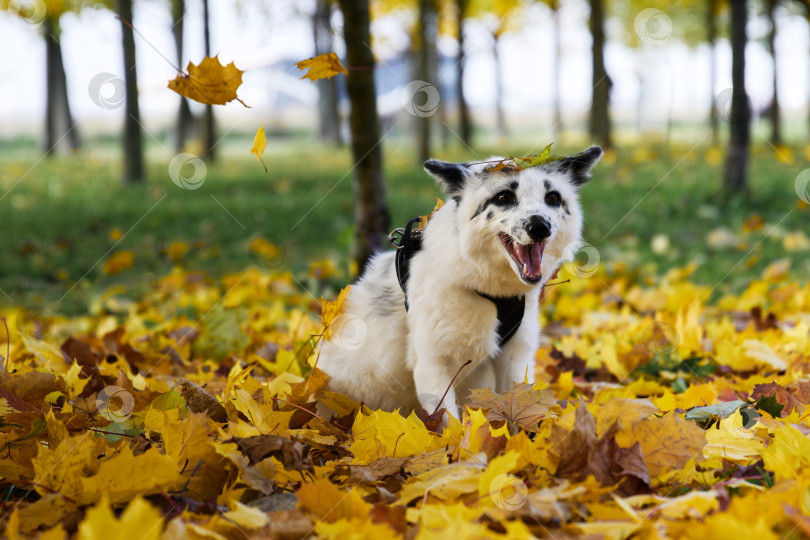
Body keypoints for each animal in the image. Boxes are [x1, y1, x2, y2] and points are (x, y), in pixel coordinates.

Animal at [316, 148, 600, 422]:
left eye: (552, 198)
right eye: (504, 197)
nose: (540, 227)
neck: (492, 293)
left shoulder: (515, 358)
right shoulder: (432, 366)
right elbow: (449, 426)